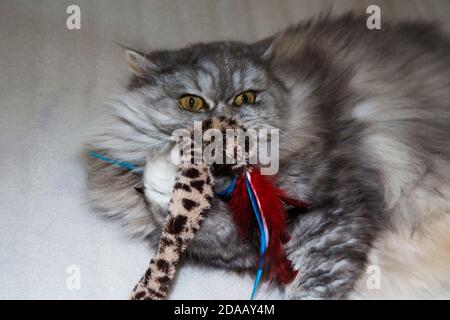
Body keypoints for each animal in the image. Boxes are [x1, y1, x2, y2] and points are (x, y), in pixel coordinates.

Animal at [86, 14, 450, 300]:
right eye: (192, 102)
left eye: (245, 98)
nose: (223, 120)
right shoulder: (250, 240)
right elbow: (195, 221)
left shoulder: (335, 214)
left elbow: (313, 284)